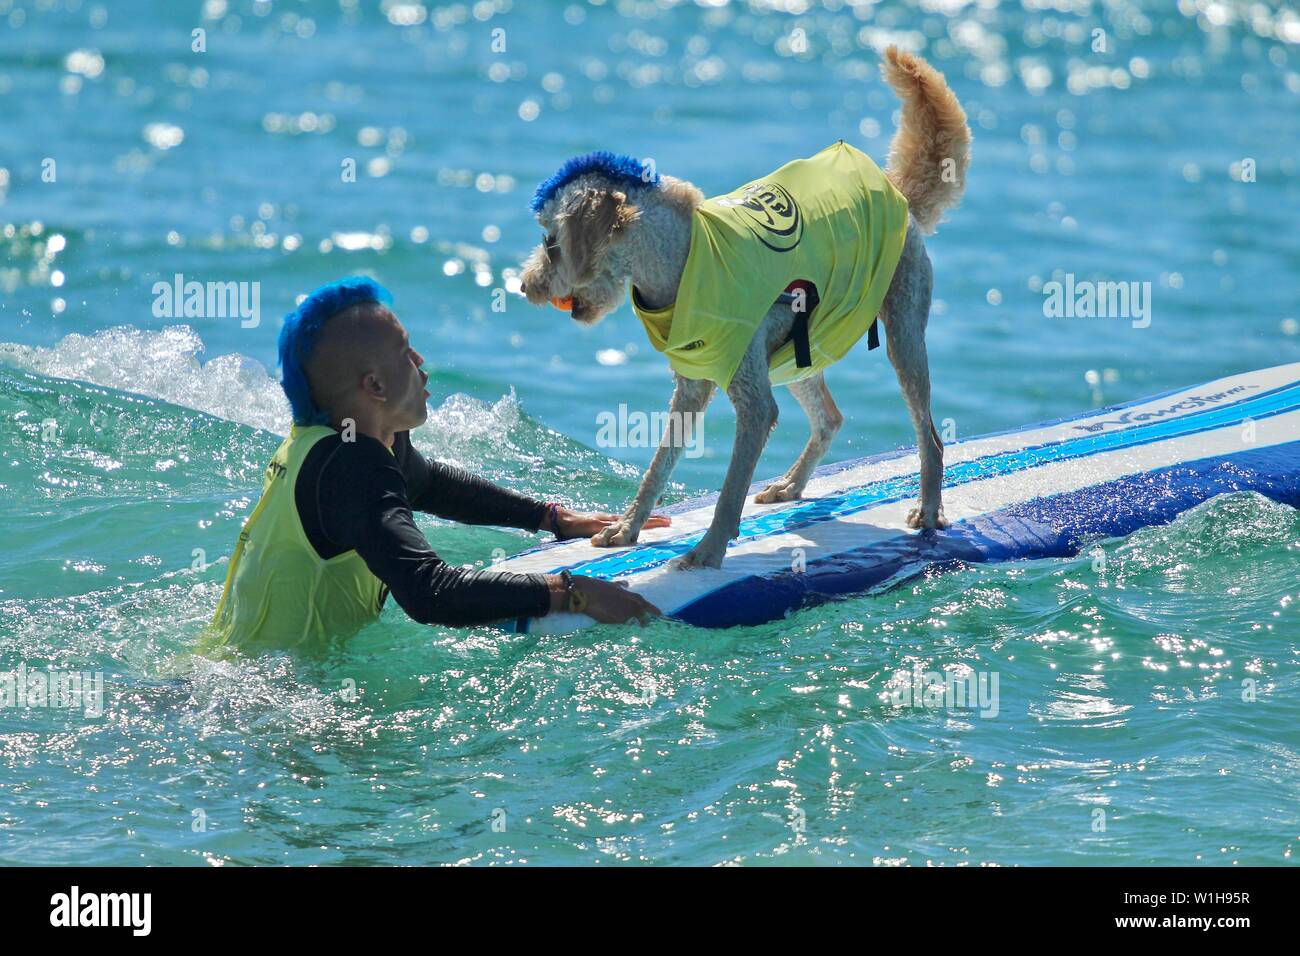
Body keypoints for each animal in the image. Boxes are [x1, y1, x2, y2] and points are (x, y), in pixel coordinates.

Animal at [517, 48, 967, 567]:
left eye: (550, 242)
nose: (525, 285)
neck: (684, 261)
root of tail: (898, 192)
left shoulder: (754, 402)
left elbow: (731, 488)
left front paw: (706, 552)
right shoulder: (691, 388)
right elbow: (658, 466)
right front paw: (626, 530)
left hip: (902, 334)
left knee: (930, 437)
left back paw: (928, 510)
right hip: (798, 354)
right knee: (830, 417)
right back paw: (791, 485)